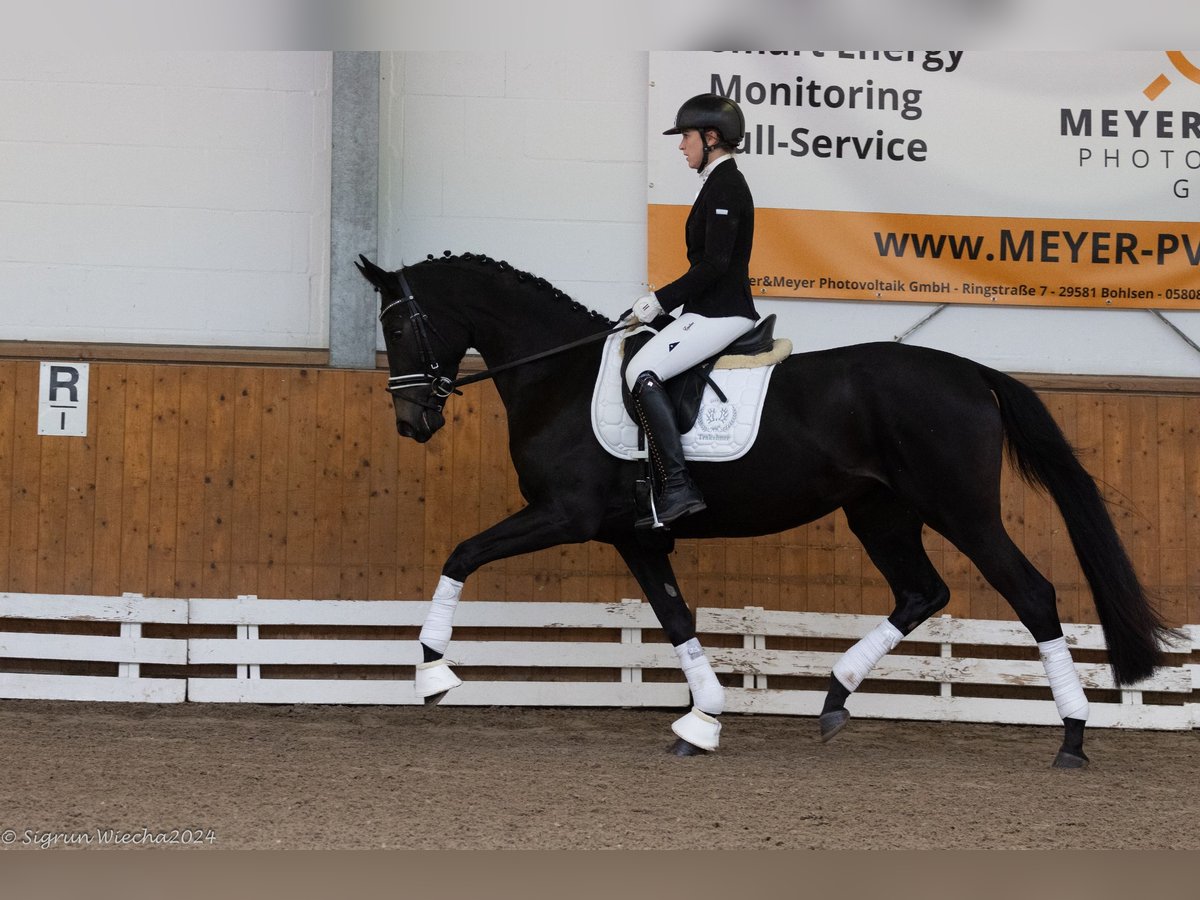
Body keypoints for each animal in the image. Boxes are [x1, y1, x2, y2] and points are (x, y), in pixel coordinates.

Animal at [355, 254, 1171, 768]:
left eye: (396, 326)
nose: (411, 423)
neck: (559, 373)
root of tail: (969, 371)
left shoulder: (568, 515)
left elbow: (461, 553)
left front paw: (433, 671)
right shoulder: (635, 537)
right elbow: (675, 618)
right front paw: (702, 720)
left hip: (962, 511)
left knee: (1031, 594)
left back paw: (1072, 737)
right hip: (881, 513)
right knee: (921, 592)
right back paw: (834, 698)